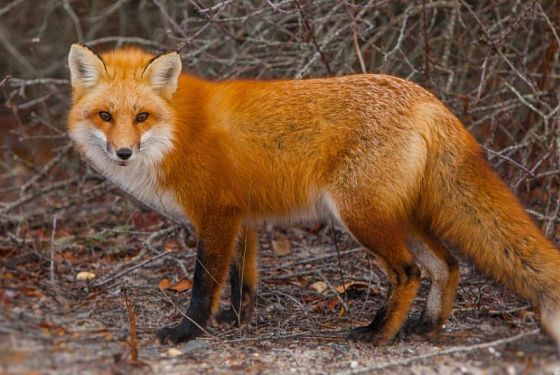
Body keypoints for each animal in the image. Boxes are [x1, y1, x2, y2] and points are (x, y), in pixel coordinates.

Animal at [66, 44, 560, 352]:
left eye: (142, 117)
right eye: (105, 116)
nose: (123, 152)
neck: (178, 134)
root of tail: (428, 99)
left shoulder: (217, 214)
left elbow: (205, 283)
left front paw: (188, 331)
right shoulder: (243, 218)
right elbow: (242, 281)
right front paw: (238, 321)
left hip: (361, 217)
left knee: (410, 272)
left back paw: (378, 334)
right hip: (403, 216)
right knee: (447, 265)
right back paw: (425, 326)